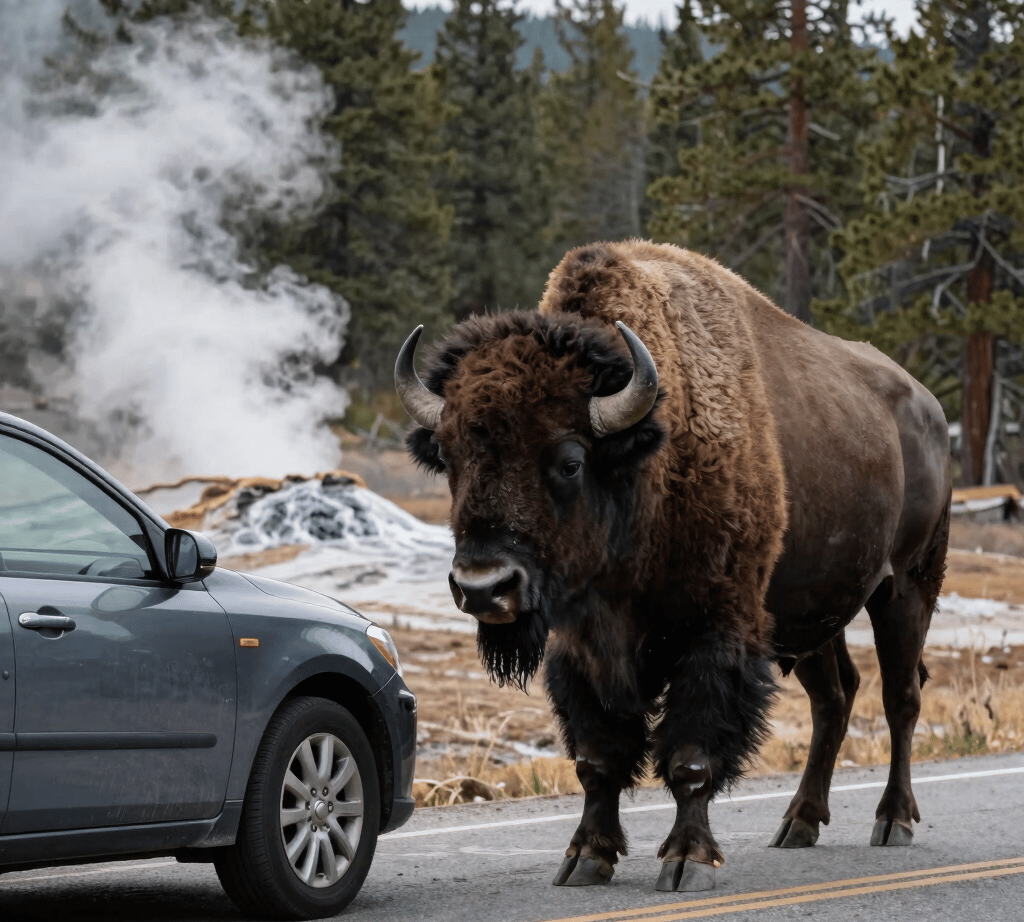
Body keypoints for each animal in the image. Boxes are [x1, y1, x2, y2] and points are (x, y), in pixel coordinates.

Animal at [396, 239, 951, 892]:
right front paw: (586, 857)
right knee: (834, 699)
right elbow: (597, 756)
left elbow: (691, 756)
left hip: (907, 589)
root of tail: (930, 409)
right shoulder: (581, 645)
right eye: (450, 456)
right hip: (813, 615)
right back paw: (799, 823)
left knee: (900, 697)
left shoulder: (716, 631)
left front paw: (688, 860)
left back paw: (893, 821)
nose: (483, 588)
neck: (649, 456)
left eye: (569, 460)